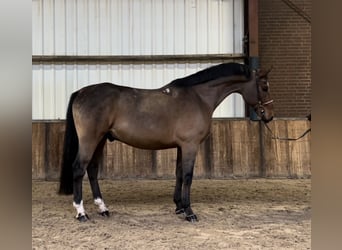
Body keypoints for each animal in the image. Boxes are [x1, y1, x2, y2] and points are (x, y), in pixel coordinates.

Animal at [58, 62, 272, 223]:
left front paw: (179, 207)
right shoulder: (190, 145)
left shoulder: (181, 146)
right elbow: (187, 176)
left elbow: (179, 174)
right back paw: (81, 213)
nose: (269, 116)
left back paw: (103, 208)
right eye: (264, 87)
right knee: (79, 169)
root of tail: (81, 92)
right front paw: (189, 212)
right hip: (90, 140)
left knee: (92, 170)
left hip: (101, 140)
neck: (198, 97)